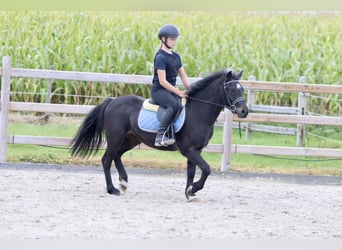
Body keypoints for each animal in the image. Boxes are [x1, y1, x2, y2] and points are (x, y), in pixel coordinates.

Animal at [71, 69, 248, 199]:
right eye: (231, 89)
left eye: (242, 89)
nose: (244, 111)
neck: (198, 113)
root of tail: (112, 101)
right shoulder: (189, 150)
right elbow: (206, 169)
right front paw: (193, 189)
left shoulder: (195, 150)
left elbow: (191, 172)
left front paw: (189, 192)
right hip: (115, 137)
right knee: (107, 159)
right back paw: (112, 189)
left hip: (131, 139)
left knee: (117, 156)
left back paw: (124, 182)